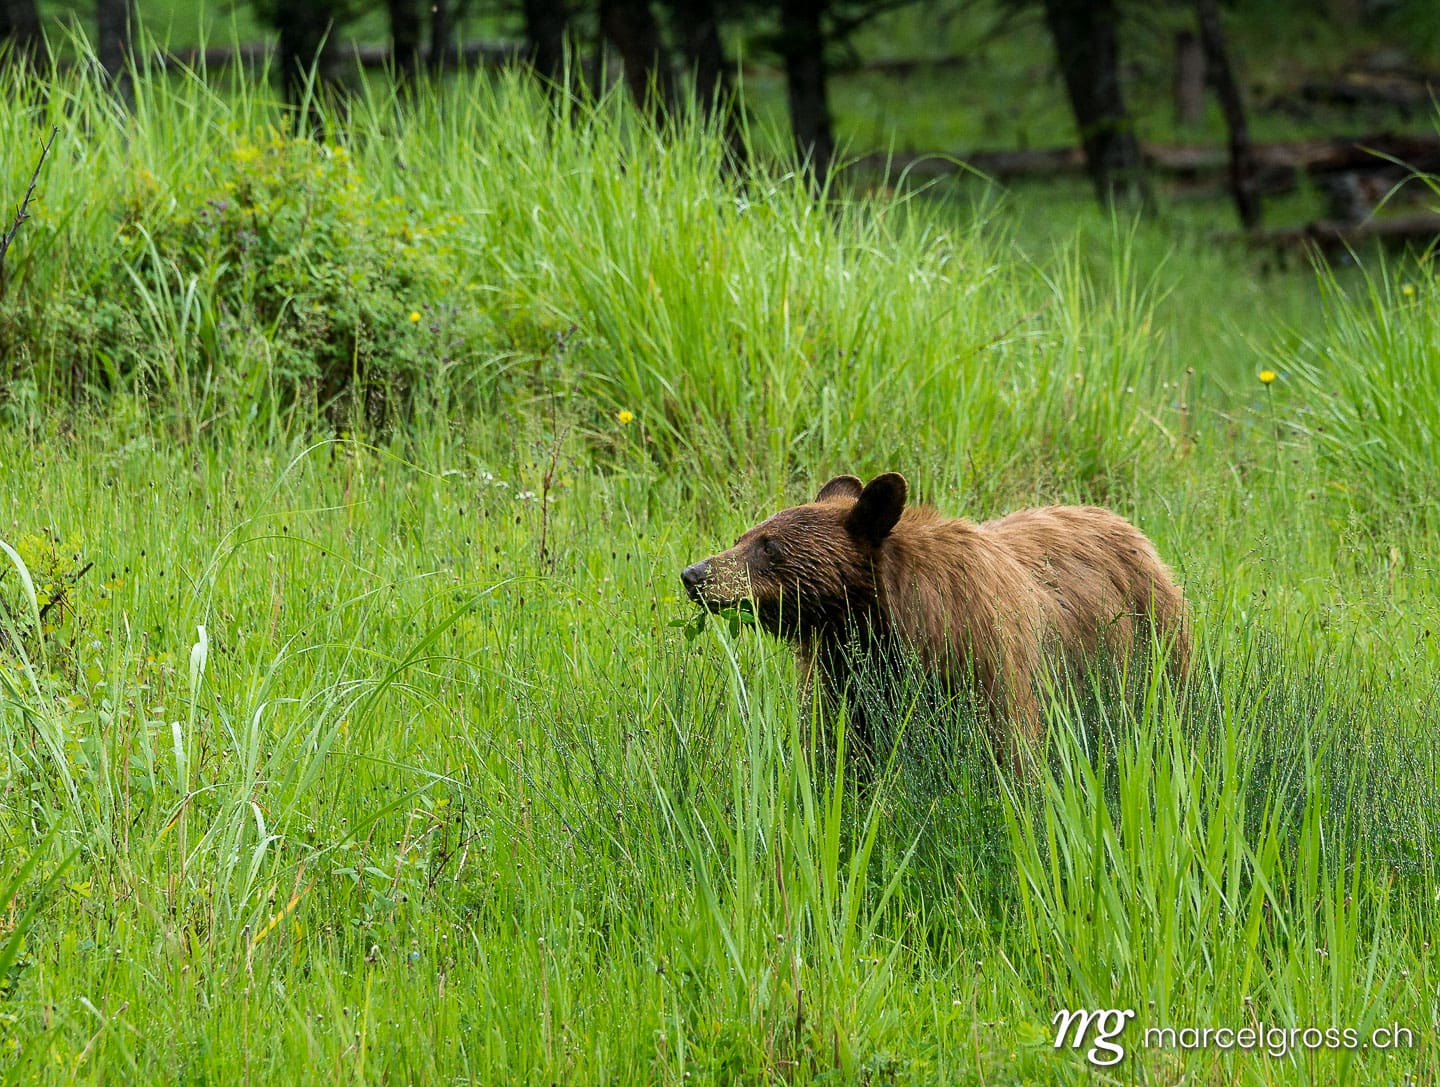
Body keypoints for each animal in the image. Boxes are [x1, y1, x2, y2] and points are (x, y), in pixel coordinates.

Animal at [680, 472, 1189, 771]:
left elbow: (1009, 749)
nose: (694, 574)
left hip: (1152, 640)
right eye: (742, 536)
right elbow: (843, 752)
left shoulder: (982, 659)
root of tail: (1131, 527)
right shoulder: (844, 677)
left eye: (769, 547)